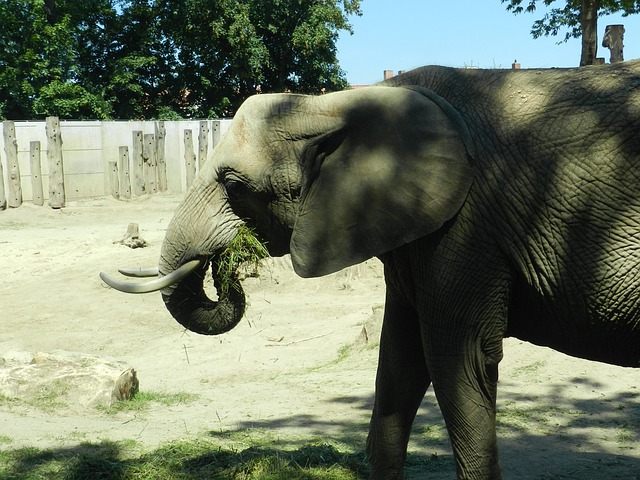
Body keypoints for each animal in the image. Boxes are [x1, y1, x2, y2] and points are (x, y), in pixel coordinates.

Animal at [101, 59, 640, 479]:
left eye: (234, 186)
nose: (229, 262)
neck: (337, 105)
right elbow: (399, 358)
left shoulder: (467, 228)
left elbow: (456, 356)